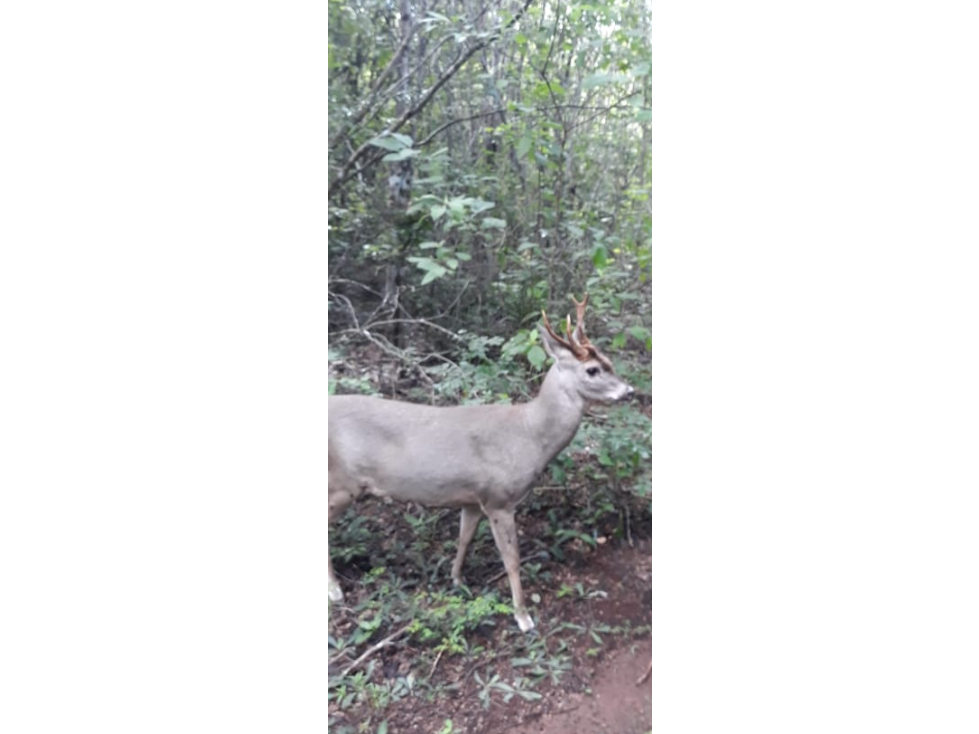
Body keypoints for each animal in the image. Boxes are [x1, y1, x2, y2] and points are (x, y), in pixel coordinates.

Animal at [330, 296, 636, 636]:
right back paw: (336, 591)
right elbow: (512, 559)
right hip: (342, 482)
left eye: (609, 361)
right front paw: (523, 616)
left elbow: (464, 538)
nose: (629, 391)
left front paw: (456, 579)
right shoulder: (500, 498)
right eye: (592, 369)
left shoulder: (473, 498)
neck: (528, 436)